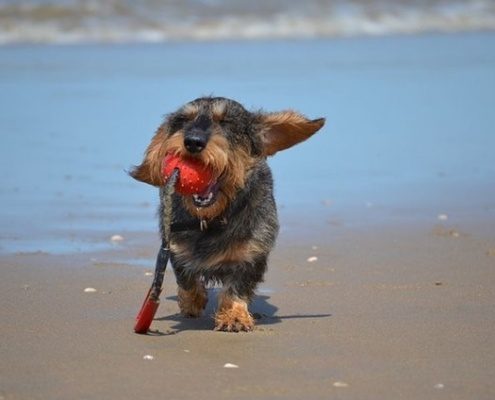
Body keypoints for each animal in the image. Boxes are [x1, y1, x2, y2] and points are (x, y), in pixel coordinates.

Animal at [131, 97, 326, 332]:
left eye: (226, 122)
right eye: (184, 120)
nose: (193, 142)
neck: (210, 219)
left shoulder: (251, 256)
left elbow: (236, 289)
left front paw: (234, 316)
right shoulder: (175, 249)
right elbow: (186, 280)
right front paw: (192, 303)